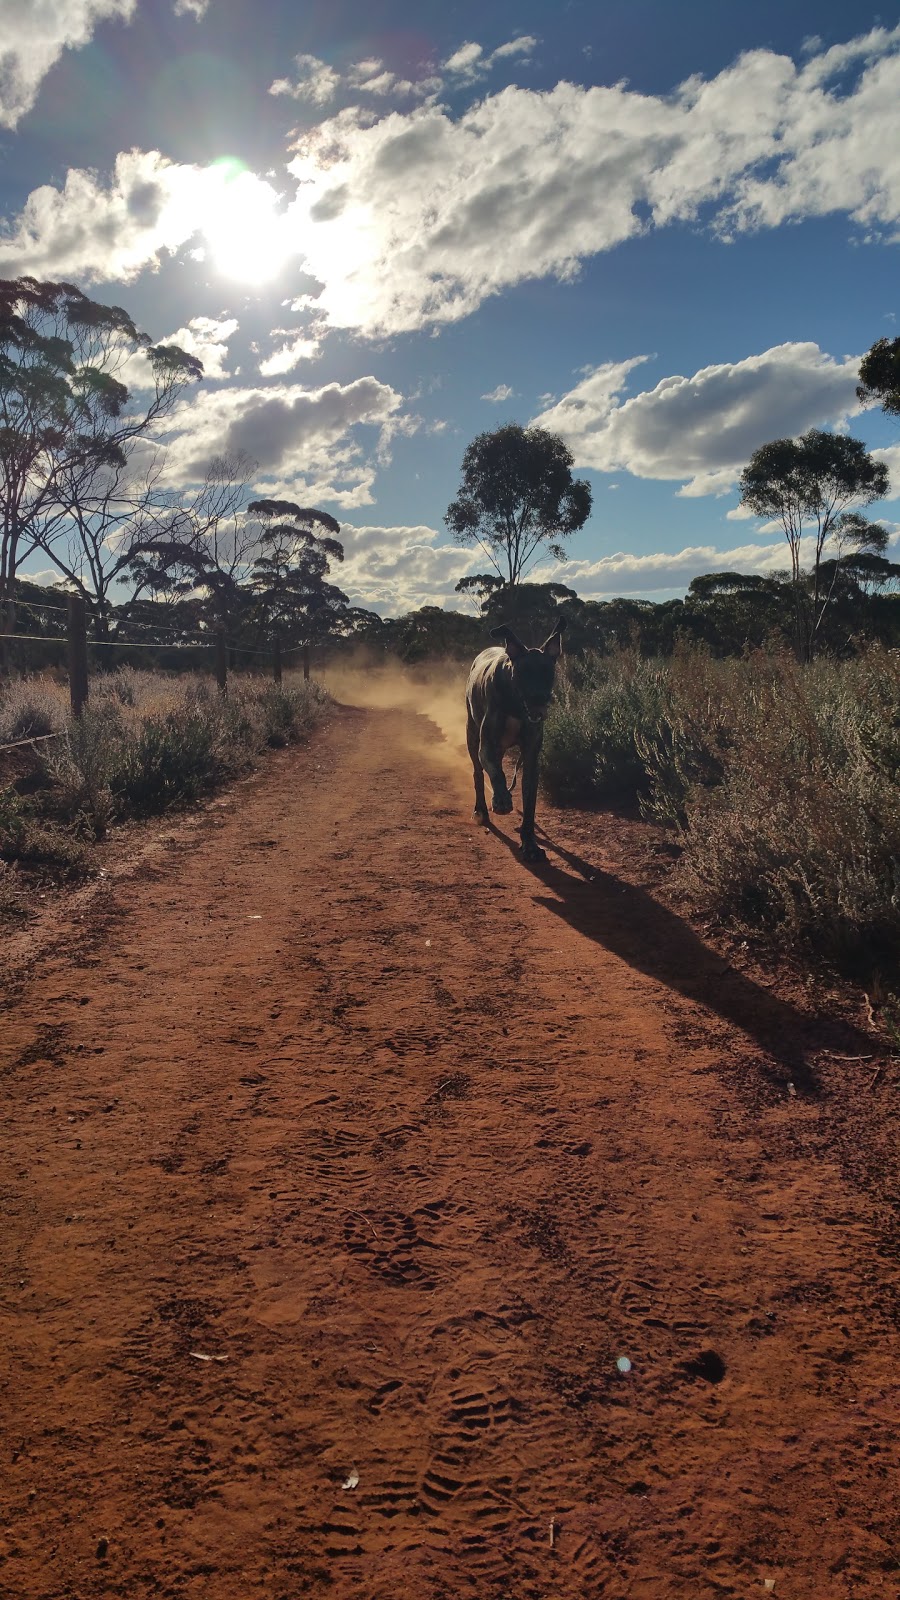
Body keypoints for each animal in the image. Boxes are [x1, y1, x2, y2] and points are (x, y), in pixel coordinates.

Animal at [461, 617, 560, 864]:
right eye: (524, 672)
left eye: (548, 672)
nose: (540, 698)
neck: (516, 704)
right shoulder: (486, 746)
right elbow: (497, 774)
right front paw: (501, 799)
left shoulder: (531, 757)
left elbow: (530, 803)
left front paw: (530, 843)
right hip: (472, 735)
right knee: (478, 774)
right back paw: (482, 809)